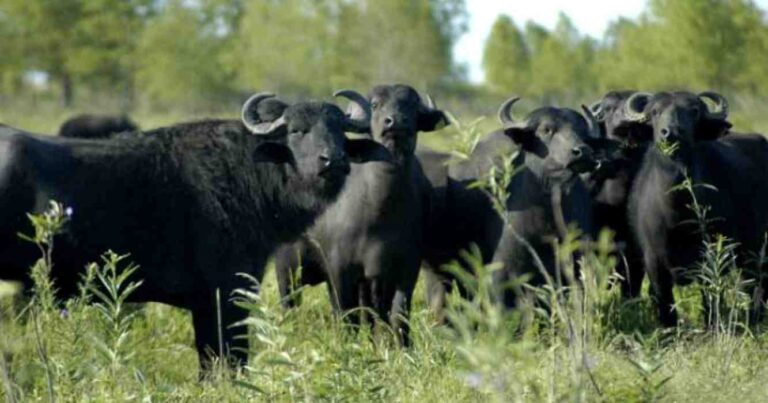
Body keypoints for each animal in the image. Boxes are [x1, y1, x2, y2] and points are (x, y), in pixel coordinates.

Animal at [0, 93, 386, 370]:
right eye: (297, 130)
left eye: (339, 131)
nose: (333, 160)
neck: (248, 173)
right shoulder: (226, 294)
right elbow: (229, 360)